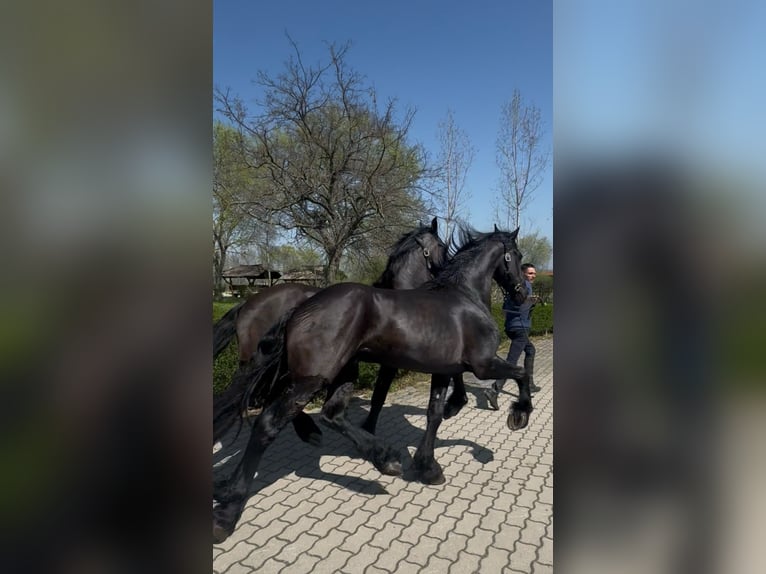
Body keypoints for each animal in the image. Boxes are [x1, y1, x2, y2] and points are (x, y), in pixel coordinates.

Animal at [213, 225, 533, 543]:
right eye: (517, 256)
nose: (521, 294)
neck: (465, 298)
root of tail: (299, 307)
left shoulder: (443, 371)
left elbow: (434, 415)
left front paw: (428, 467)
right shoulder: (483, 364)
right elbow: (520, 374)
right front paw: (518, 416)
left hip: (337, 374)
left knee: (330, 414)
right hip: (310, 378)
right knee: (268, 424)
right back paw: (228, 513)